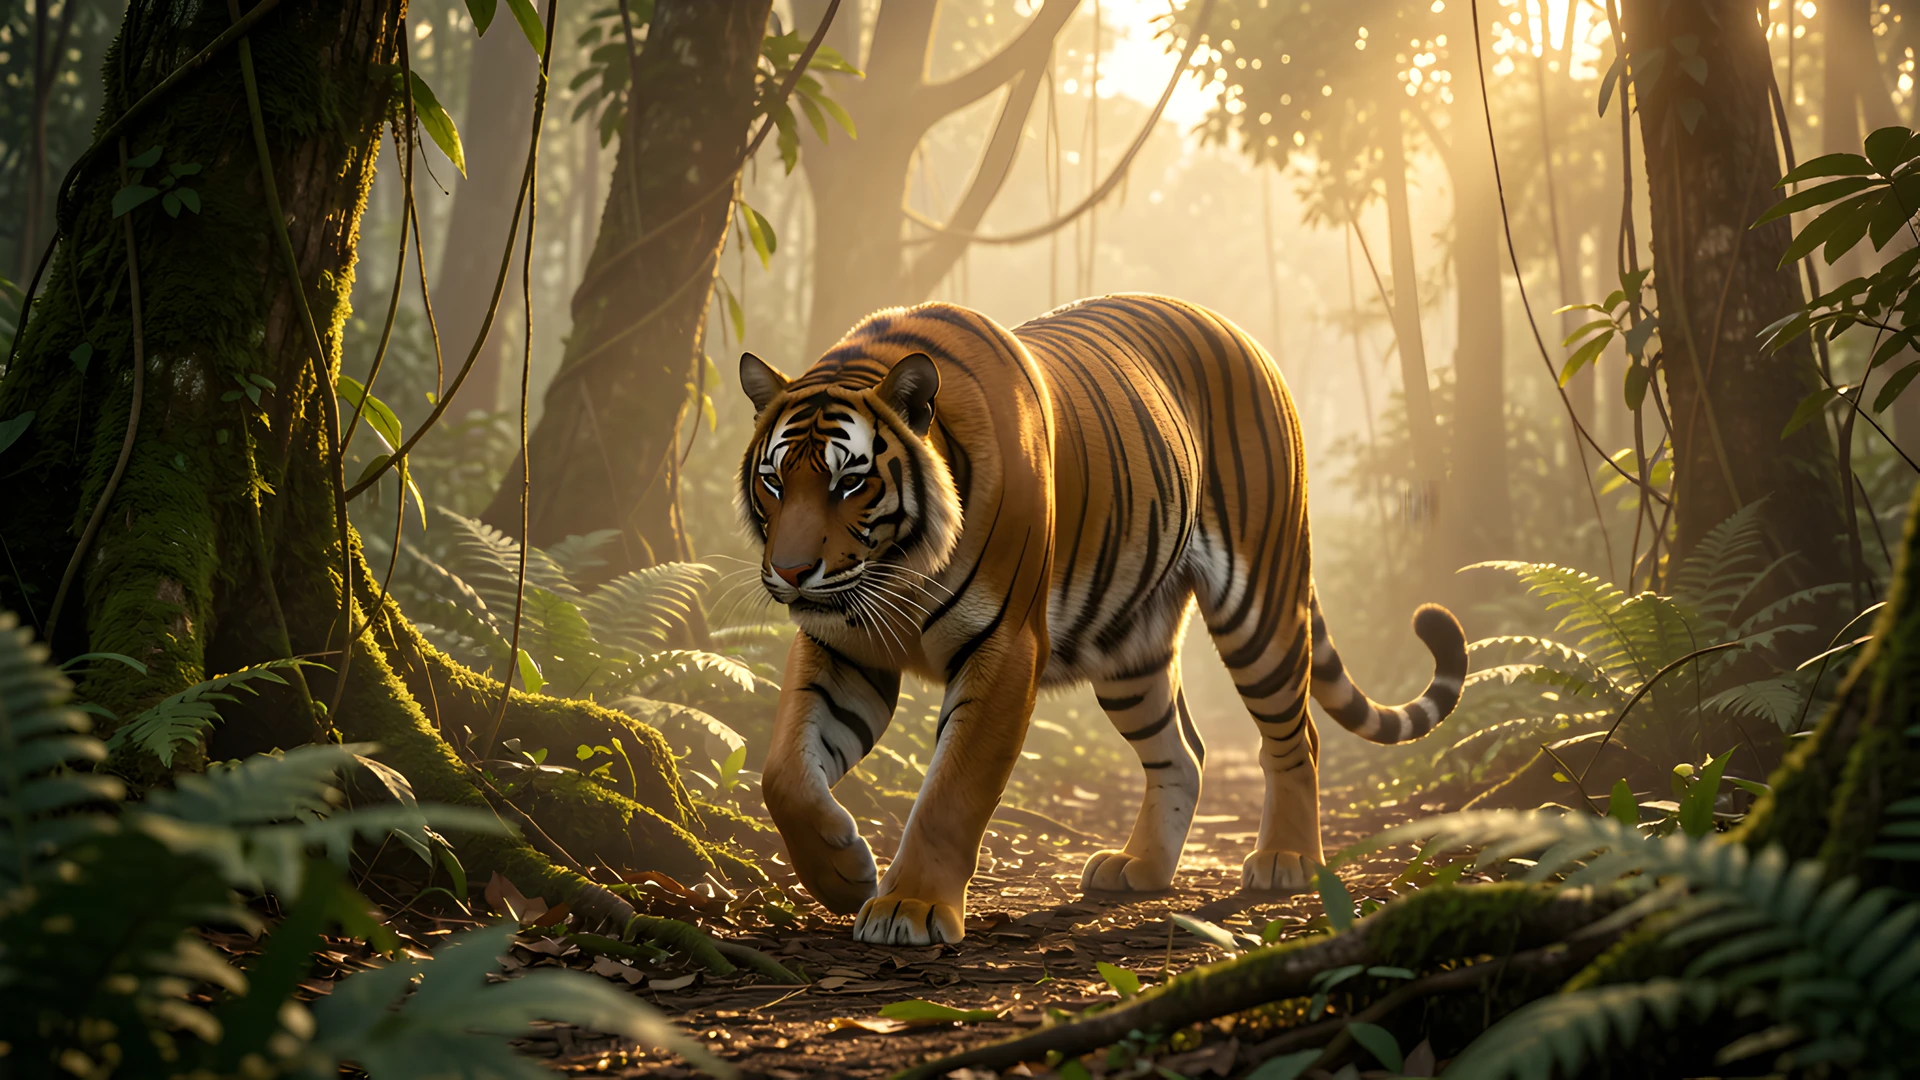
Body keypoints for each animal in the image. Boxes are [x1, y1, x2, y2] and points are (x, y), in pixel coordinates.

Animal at [737, 294, 1466, 946]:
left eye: (849, 482)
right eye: (774, 482)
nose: (792, 573)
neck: (898, 569)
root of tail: (1246, 336)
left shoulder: (1004, 649)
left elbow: (951, 790)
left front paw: (907, 907)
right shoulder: (841, 647)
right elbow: (784, 773)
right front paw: (841, 873)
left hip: (1259, 602)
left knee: (1296, 736)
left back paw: (1287, 861)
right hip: (1129, 649)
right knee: (1183, 752)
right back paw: (1140, 866)